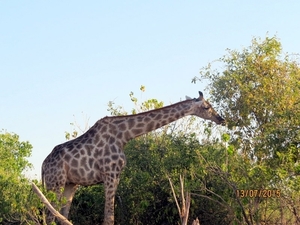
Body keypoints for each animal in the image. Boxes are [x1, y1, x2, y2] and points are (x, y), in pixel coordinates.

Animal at [42, 90, 225, 224]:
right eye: (207, 107)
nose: (221, 119)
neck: (124, 136)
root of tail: (43, 166)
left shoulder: (114, 176)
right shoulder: (110, 174)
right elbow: (109, 218)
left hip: (69, 185)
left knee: (60, 216)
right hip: (55, 183)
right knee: (50, 216)